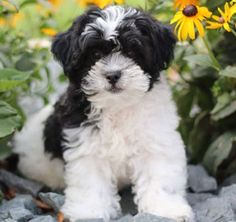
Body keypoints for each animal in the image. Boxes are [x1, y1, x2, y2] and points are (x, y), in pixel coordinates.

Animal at [13, 5, 194, 222]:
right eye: (96, 54)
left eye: (132, 51)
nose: (113, 75)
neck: (117, 106)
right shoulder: (85, 145)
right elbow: (91, 183)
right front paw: (90, 212)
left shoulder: (156, 139)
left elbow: (160, 177)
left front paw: (166, 210)